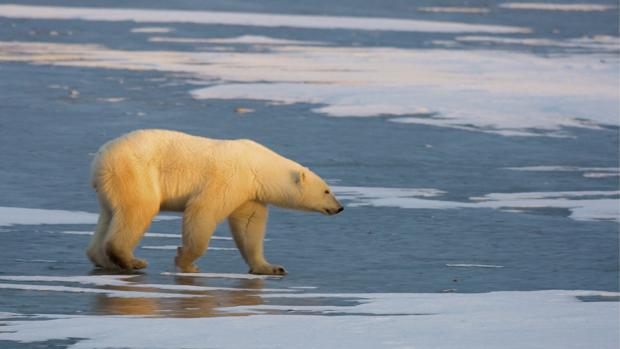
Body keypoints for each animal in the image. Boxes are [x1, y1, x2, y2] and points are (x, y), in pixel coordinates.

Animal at [86, 129, 344, 274]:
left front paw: (271, 267)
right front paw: (186, 261)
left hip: (111, 185)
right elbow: (203, 211)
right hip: (135, 172)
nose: (340, 208)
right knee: (140, 208)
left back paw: (103, 259)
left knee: (110, 215)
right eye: (327, 190)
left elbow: (249, 226)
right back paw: (132, 261)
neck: (257, 166)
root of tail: (99, 159)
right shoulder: (230, 178)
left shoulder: (250, 193)